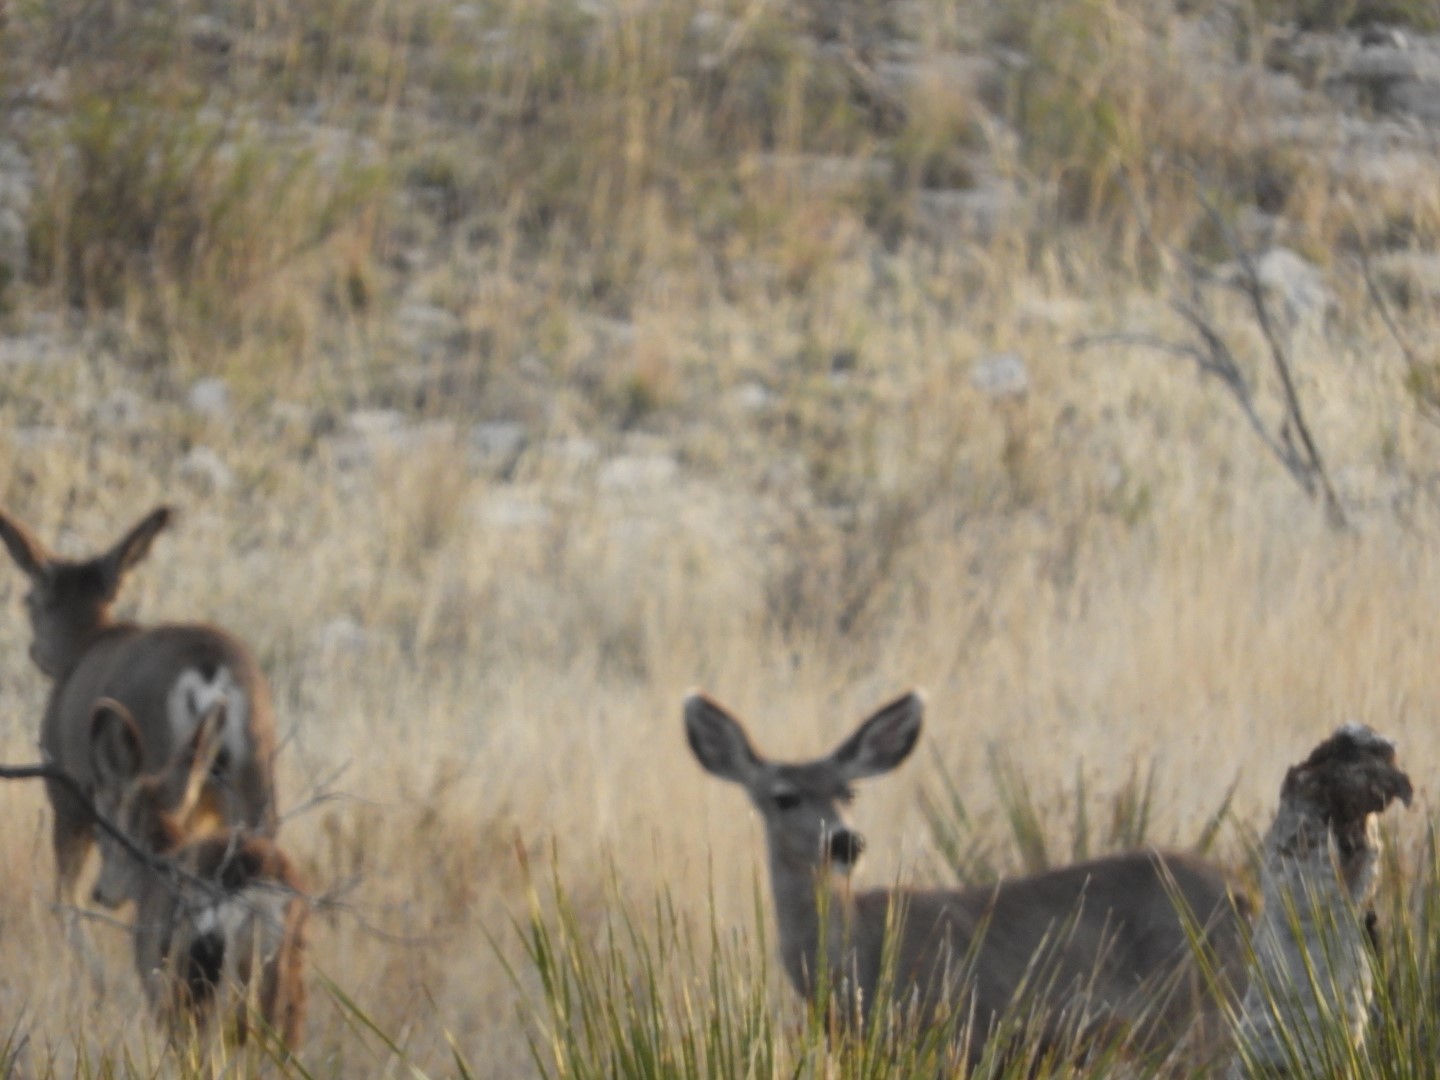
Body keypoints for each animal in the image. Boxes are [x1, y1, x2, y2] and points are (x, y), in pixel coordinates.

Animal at [0, 505, 278, 971]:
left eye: (28, 600)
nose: (35, 652)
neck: (84, 647)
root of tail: (209, 676)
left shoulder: (67, 793)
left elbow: (64, 896)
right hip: (254, 777)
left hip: (160, 767)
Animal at [684, 690, 1252, 1067]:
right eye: (784, 797)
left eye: (849, 792)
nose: (845, 842)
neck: (858, 962)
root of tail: (1246, 891)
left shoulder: (954, 1029)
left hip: (1195, 1011)